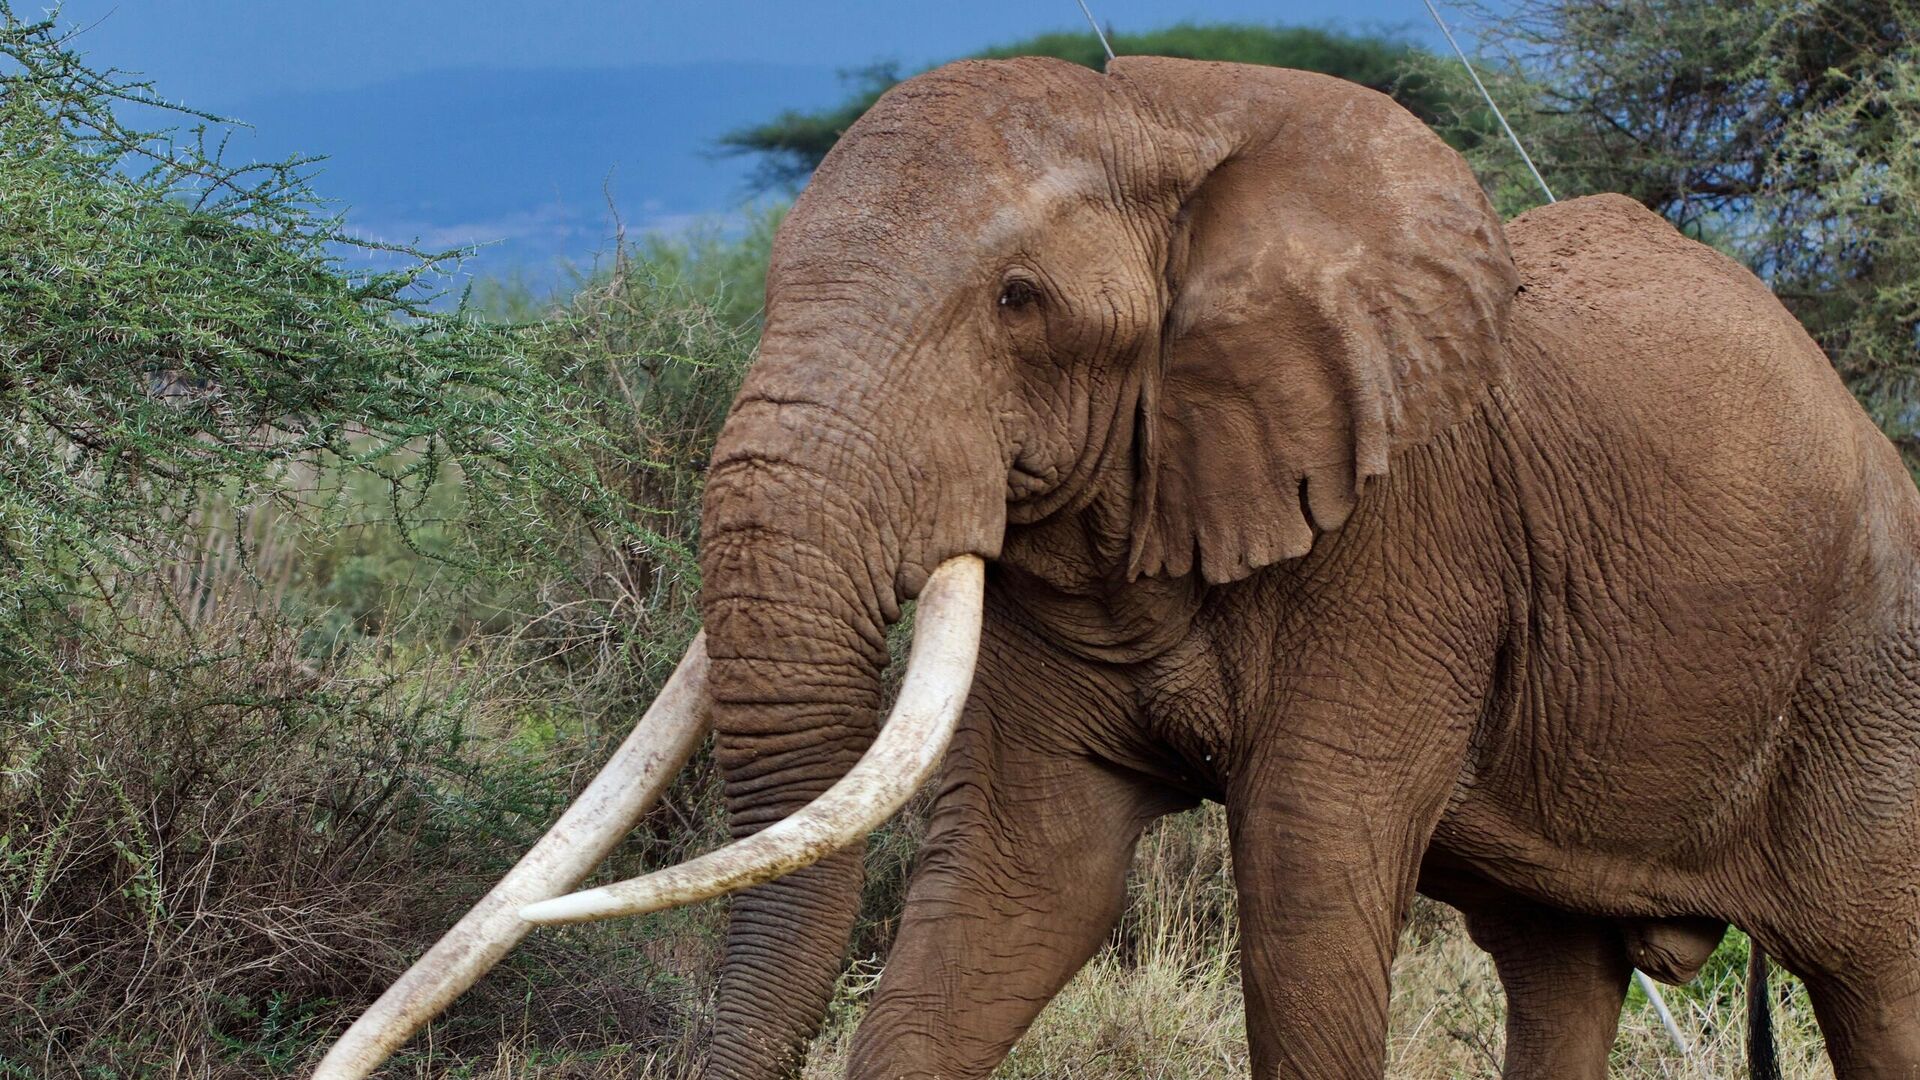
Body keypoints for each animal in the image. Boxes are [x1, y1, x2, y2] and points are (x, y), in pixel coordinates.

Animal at [318, 55, 1920, 1080]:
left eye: (1019, 303)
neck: (1163, 105)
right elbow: (1022, 884)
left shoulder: (1411, 543)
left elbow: (1307, 883)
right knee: (1558, 970)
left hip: (1871, 679)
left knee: (1878, 980)